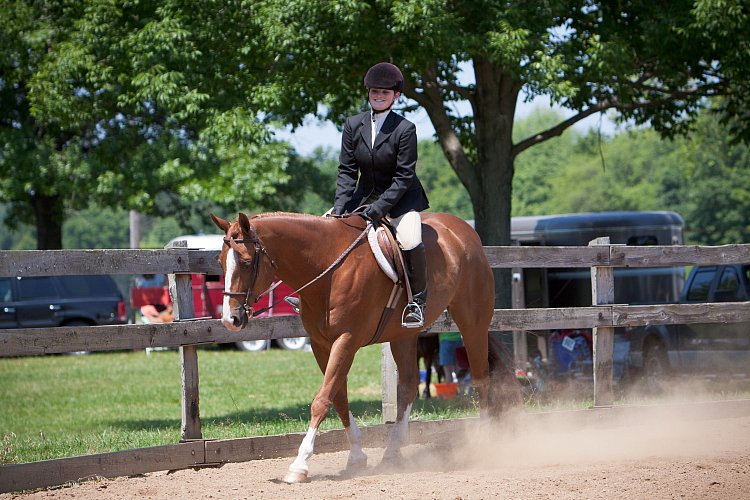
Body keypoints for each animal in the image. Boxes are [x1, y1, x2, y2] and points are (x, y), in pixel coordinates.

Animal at [209, 212, 520, 484]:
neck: (328, 269)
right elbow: (338, 397)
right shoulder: (321, 344)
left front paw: (299, 465)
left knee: (481, 378)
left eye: (246, 262)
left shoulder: (347, 340)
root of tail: (463, 231)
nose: (230, 320)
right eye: (220, 261)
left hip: (472, 322)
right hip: (403, 336)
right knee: (408, 386)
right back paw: (392, 452)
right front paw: (357, 457)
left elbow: (322, 400)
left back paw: (483, 442)